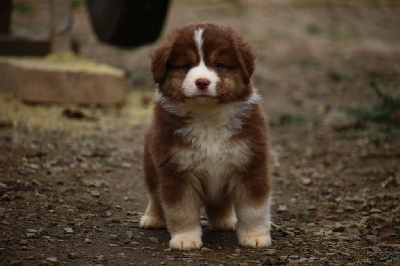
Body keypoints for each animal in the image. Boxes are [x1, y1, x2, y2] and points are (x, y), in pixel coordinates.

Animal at [141, 23, 272, 250]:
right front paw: (185, 239)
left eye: (218, 64)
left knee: (219, 203)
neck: (208, 115)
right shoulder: (176, 170)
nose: (202, 82)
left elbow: (253, 208)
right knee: (155, 197)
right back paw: (152, 218)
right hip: (151, 166)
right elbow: (181, 210)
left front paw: (255, 237)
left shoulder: (250, 163)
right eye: (186, 65)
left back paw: (226, 221)